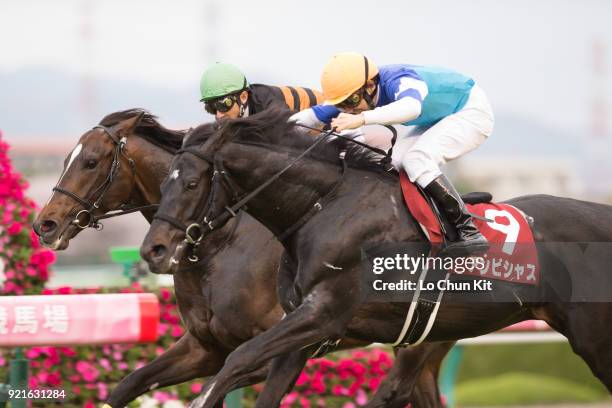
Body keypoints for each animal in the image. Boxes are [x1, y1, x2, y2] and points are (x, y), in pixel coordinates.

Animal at [33, 108, 452, 408]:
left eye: (90, 161)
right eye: (67, 159)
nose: (45, 224)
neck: (220, 246)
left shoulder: (269, 347)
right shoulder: (204, 348)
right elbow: (129, 383)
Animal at [141, 108, 612, 408]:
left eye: (192, 183)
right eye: (164, 181)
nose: (153, 250)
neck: (324, 207)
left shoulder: (325, 312)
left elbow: (239, 357)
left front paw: (202, 399)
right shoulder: (302, 328)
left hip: (593, 336)